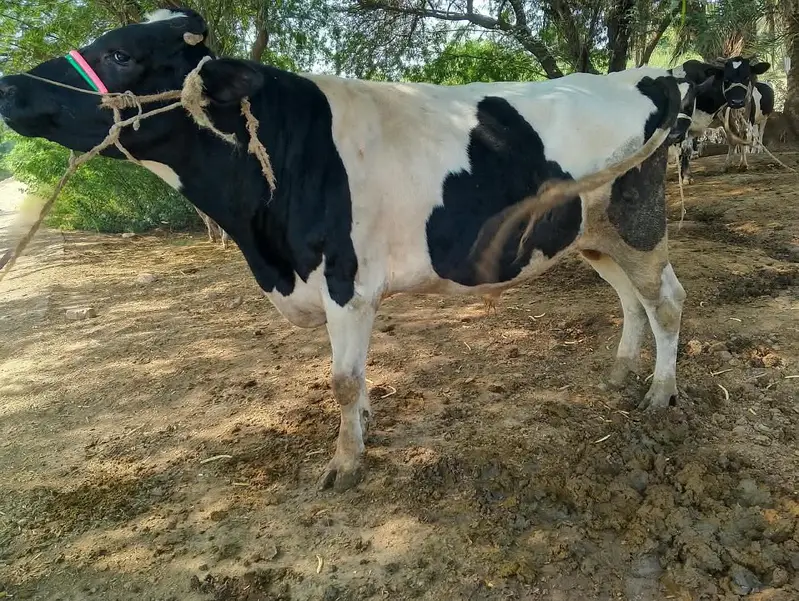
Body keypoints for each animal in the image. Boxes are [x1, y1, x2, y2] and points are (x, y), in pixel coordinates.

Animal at [0, 8, 697, 491]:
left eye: (118, 54)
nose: (9, 86)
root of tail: (646, 75)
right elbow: (355, 378)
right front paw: (364, 430)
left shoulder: (346, 280)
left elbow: (341, 379)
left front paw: (345, 461)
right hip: (592, 235)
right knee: (631, 300)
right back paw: (619, 374)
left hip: (638, 221)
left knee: (666, 300)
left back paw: (660, 393)